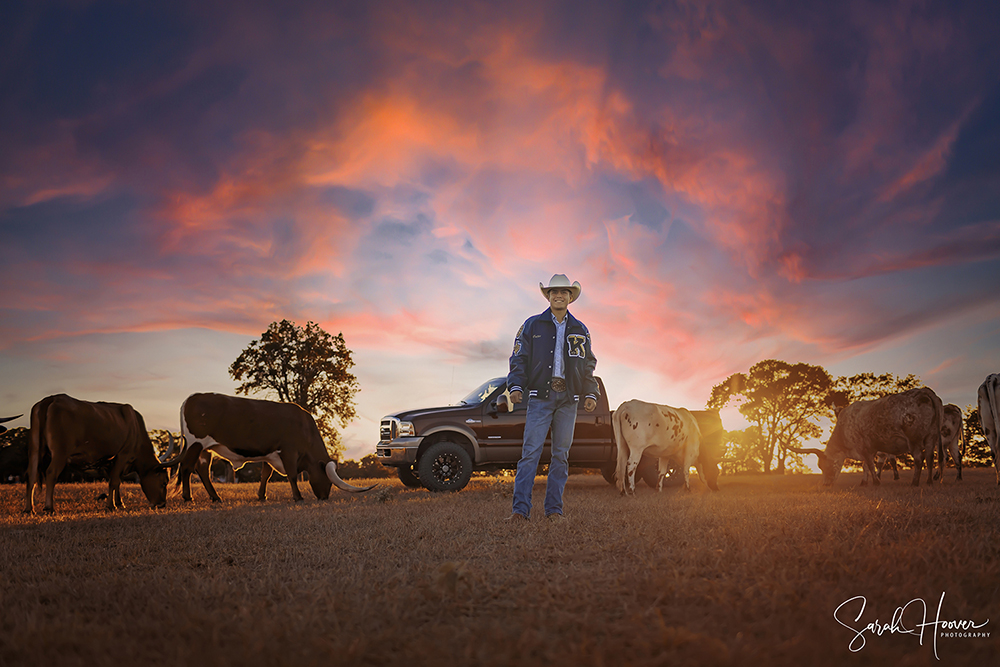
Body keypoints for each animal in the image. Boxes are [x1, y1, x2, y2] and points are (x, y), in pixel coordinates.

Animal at [172, 394, 376, 504]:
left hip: (205, 449)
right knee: (187, 468)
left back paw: (215, 497)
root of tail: (192, 398)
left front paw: (262, 496)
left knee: (202, 470)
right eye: (328, 480)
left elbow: (265, 475)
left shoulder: (270, 454)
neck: (304, 427)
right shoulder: (289, 451)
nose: (324, 498)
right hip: (195, 443)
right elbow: (292, 475)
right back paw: (188, 497)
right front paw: (298, 497)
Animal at [788, 384, 944, 488]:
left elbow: (869, 464)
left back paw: (915, 482)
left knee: (919, 458)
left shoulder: (865, 448)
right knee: (930, 457)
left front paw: (876, 482)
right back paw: (929, 481)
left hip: (913, 440)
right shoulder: (869, 448)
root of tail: (924, 390)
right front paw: (864, 482)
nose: (826, 484)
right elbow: (865, 466)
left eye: (824, 466)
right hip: (931, 437)